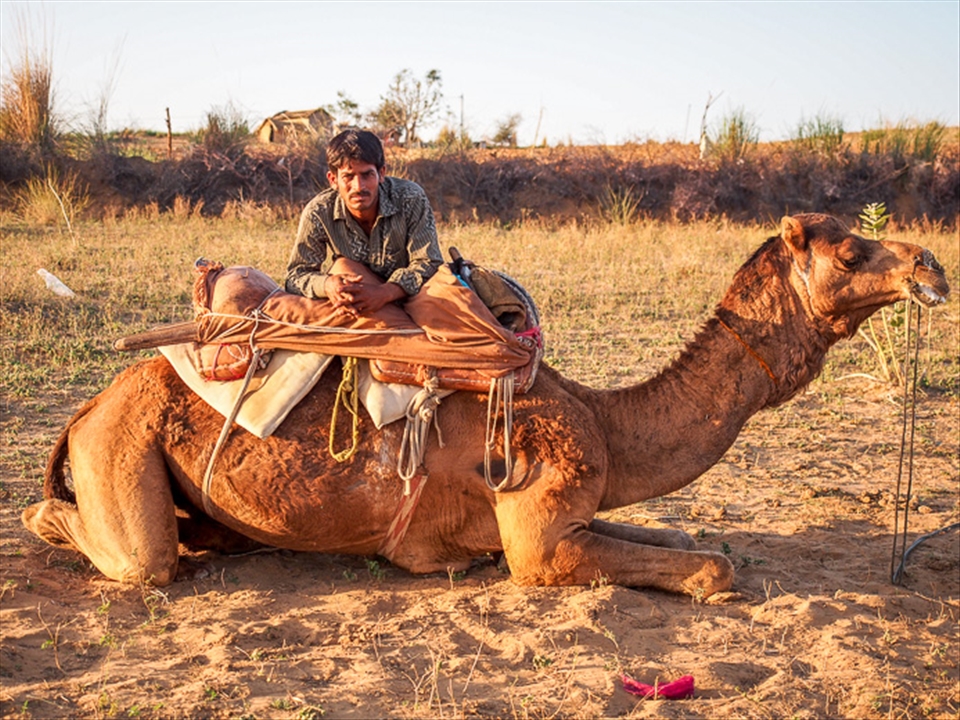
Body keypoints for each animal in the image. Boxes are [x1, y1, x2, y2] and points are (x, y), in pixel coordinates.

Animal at [21, 214, 949, 598]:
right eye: (851, 250)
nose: (931, 265)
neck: (603, 418)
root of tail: (87, 409)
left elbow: (690, 539)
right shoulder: (537, 540)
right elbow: (711, 568)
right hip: (121, 449)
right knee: (130, 552)